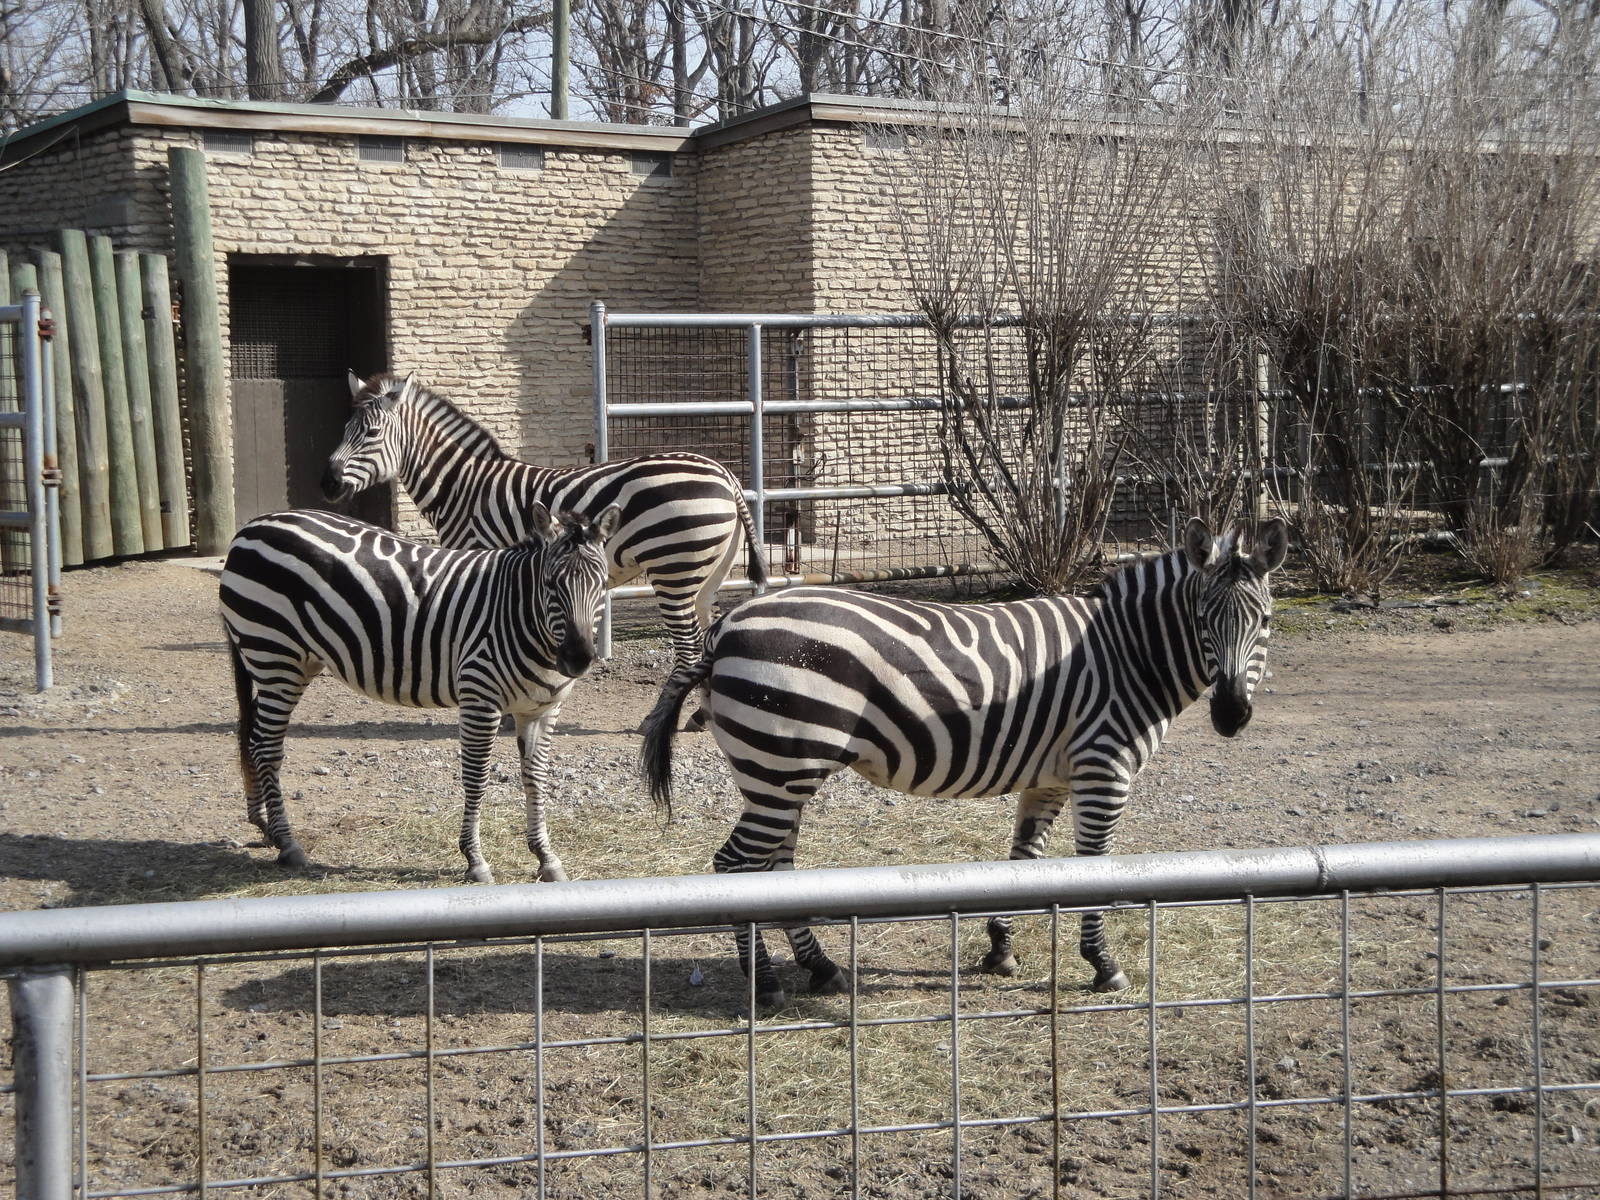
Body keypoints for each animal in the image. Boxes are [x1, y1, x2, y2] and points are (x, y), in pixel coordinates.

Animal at [220, 502, 620, 884]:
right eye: (551, 583)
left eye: (602, 584)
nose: (578, 658)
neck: (520, 613)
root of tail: (253, 525)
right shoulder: (480, 696)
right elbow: (476, 777)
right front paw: (475, 859)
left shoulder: (542, 709)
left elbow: (536, 778)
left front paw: (546, 858)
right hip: (274, 655)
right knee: (268, 747)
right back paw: (288, 843)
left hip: (293, 662)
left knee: (253, 739)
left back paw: (266, 826)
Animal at [322, 370, 767, 692]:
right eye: (343, 430)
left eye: (371, 434)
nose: (327, 484)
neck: (464, 487)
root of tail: (723, 473)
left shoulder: (481, 556)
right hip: (710, 571)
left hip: (674, 567)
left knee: (689, 645)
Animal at [641, 517, 1288, 1009]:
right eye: (1203, 620)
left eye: (1265, 622)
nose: (1232, 714)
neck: (1127, 654)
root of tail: (726, 626)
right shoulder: (1104, 767)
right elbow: (1091, 871)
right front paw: (1103, 965)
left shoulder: (1050, 778)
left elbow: (1025, 864)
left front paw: (1000, 948)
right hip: (779, 767)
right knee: (733, 866)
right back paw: (767, 985)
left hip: (781, 772)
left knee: (775, 867)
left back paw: (821, 969)